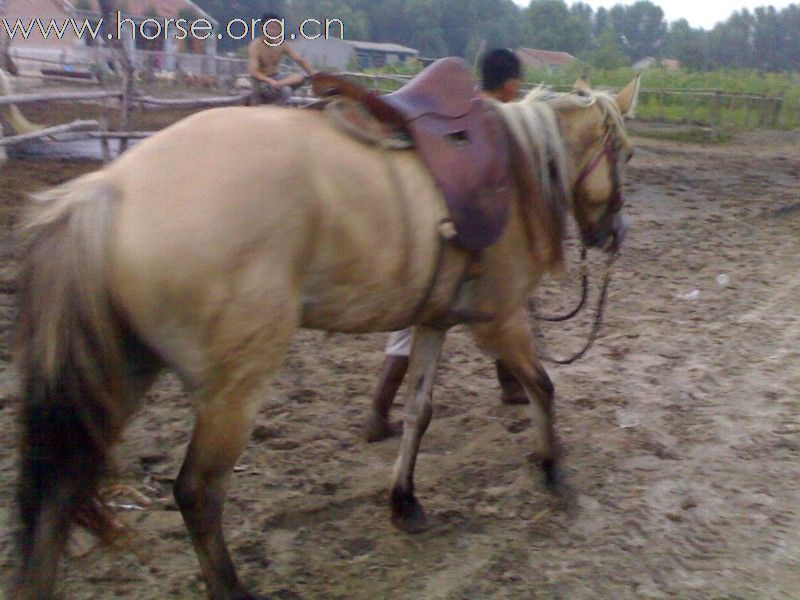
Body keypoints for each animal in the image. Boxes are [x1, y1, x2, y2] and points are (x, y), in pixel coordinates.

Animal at [10, 76, 636, 600]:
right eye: (626, 154)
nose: (614, 235)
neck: (517, 165)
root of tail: (108, 187)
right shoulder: (498, 321)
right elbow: (543, 386)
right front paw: (552, 468)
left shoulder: (433, 321)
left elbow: (419, 412)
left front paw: (405, 501)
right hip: (233, 388)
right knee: (197, 492)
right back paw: (232, 589)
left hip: (120, 372)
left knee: (57, 496)